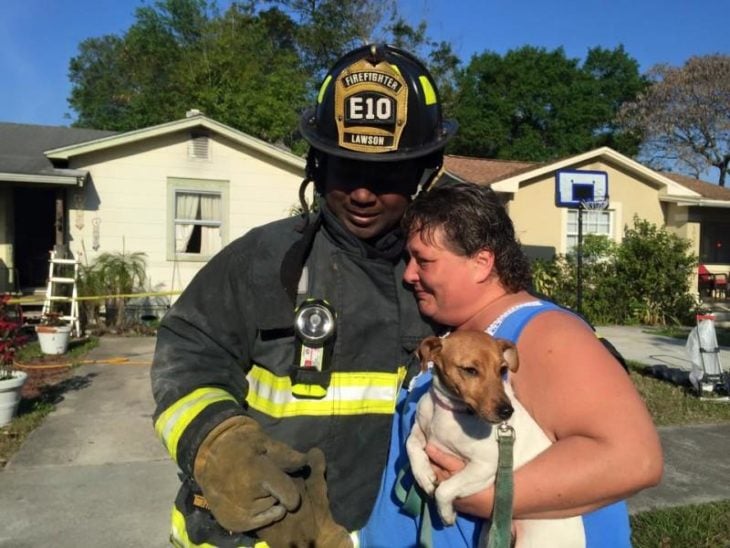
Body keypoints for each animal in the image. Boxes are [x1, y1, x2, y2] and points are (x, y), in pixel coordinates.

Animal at [406, 330, 584, 548]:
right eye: (470, 370)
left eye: (502, 370)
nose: (507, 411)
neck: (450, 411)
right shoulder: (420, 428)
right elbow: (411, 444)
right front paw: (423, 475)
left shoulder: (484, 466)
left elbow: (445, 489)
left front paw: (446, 514)